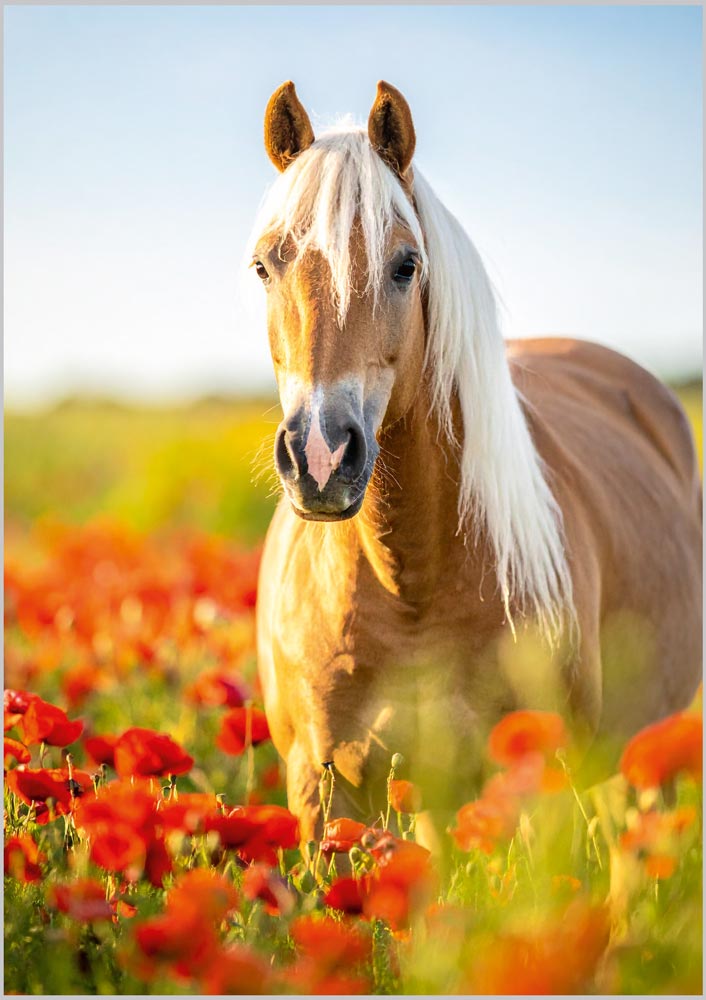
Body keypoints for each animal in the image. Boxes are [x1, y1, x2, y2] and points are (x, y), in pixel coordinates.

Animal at [252, 80, 702, 850]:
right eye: (263, 266)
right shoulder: (318, 790)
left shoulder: (540, 791)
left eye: (406, 265)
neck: (408, 585)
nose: (320, 455)